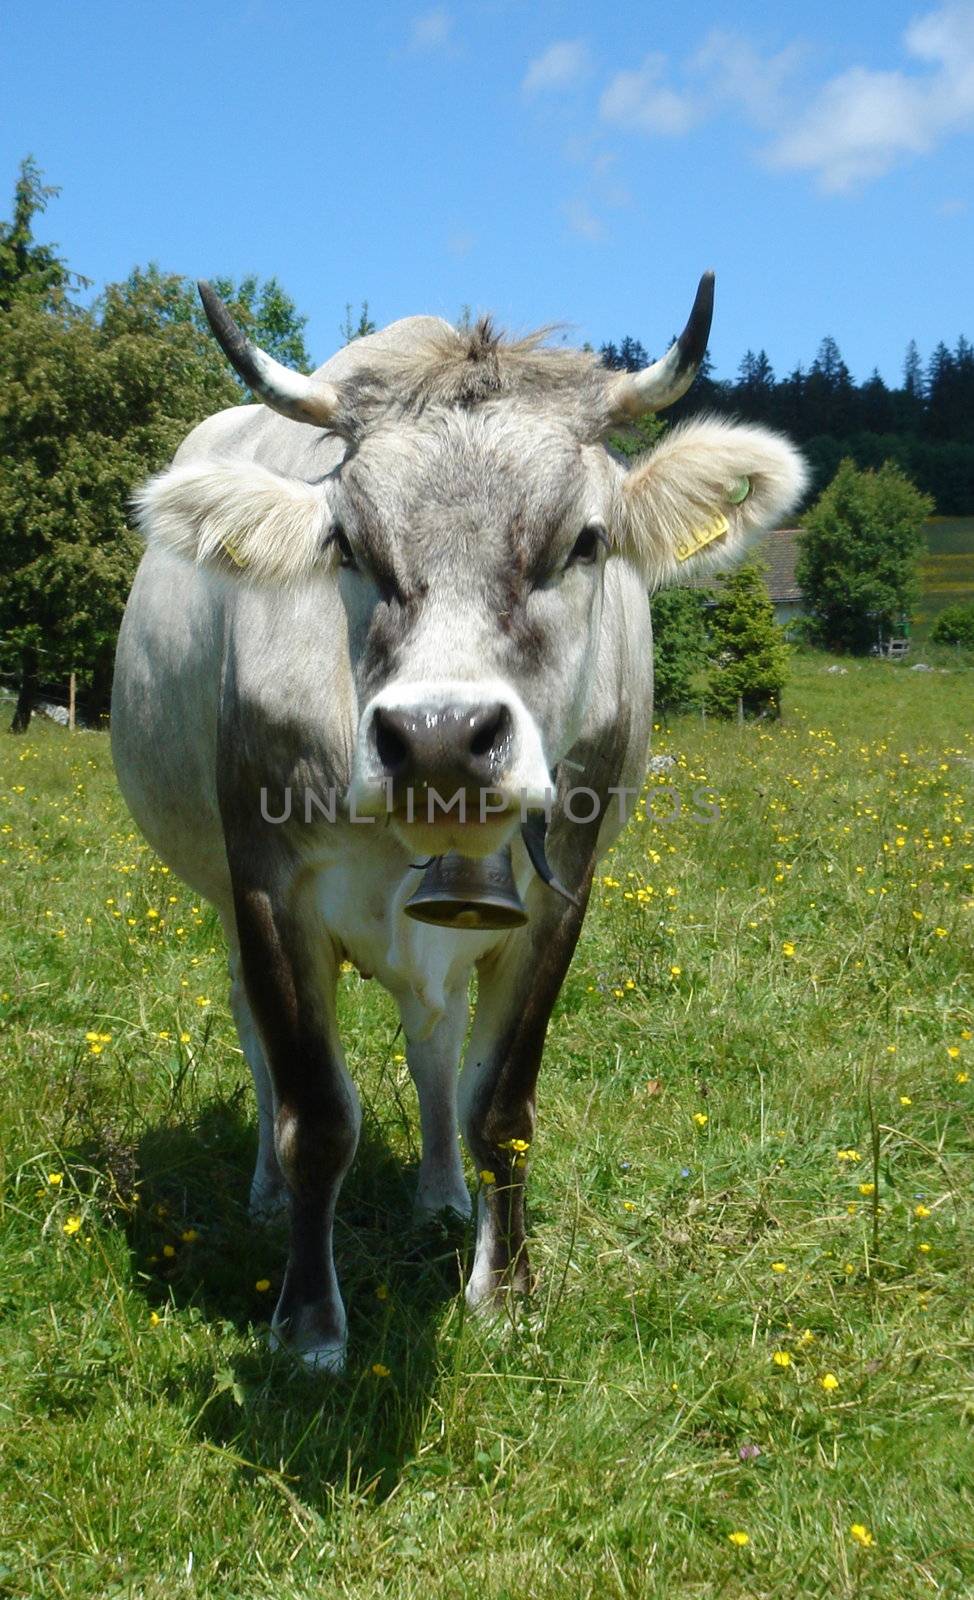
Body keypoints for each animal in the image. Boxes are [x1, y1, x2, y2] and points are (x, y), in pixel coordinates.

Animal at [111, 268, 806, 1369]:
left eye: (584, 541)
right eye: (344, 544)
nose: (438, 737)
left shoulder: (563, 889)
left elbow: (498, 1099)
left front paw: (505, 1287)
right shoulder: (267, 884)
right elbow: (315, 1110)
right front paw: (308, 1323)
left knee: (429, 1036)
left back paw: (439, 1194)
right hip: (221, 893)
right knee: (256, 1033)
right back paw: (265, 1195)